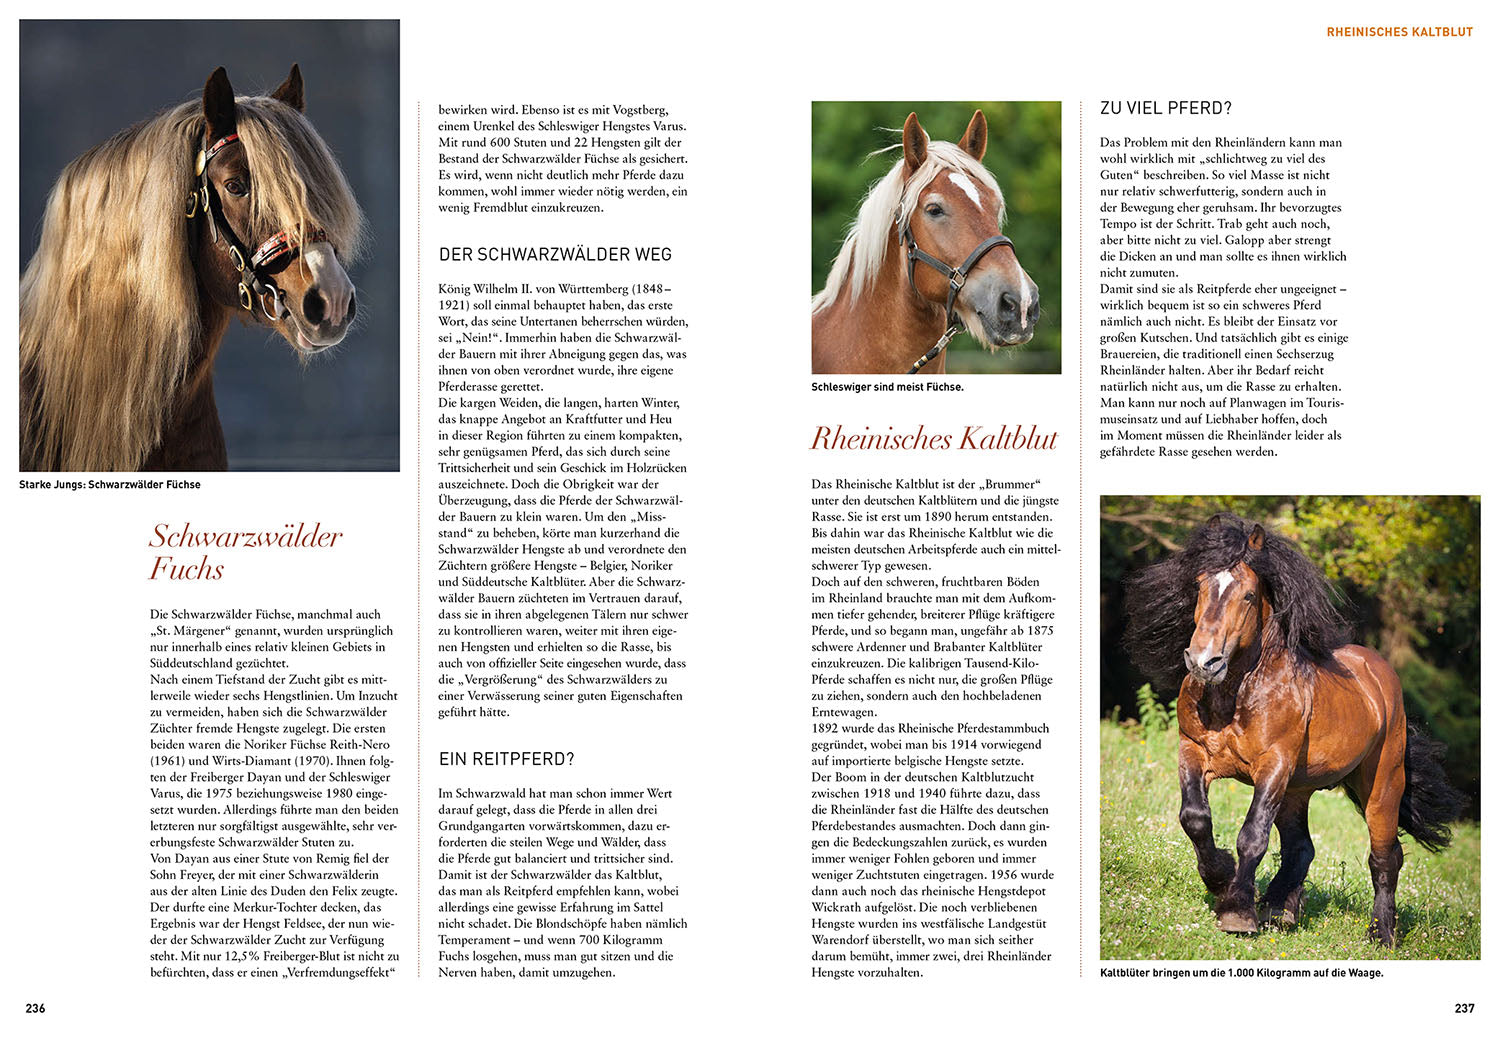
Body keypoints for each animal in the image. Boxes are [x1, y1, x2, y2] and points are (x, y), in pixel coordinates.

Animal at [1122, 514, 1466, 947]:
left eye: (1249, 595)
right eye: (1200, 586)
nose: (1204, 662)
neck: (1237, 695)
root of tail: (1380, 676)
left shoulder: (1274, 766)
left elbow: (1252, 835)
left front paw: (1237, 911)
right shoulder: (1194, 751)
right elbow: (1195, 818)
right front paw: (1220, 879)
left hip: (1382, 783)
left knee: (1385, 856)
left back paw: (1381, 933)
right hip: (1297, 791)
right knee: (1302, 847)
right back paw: (1278, 908)